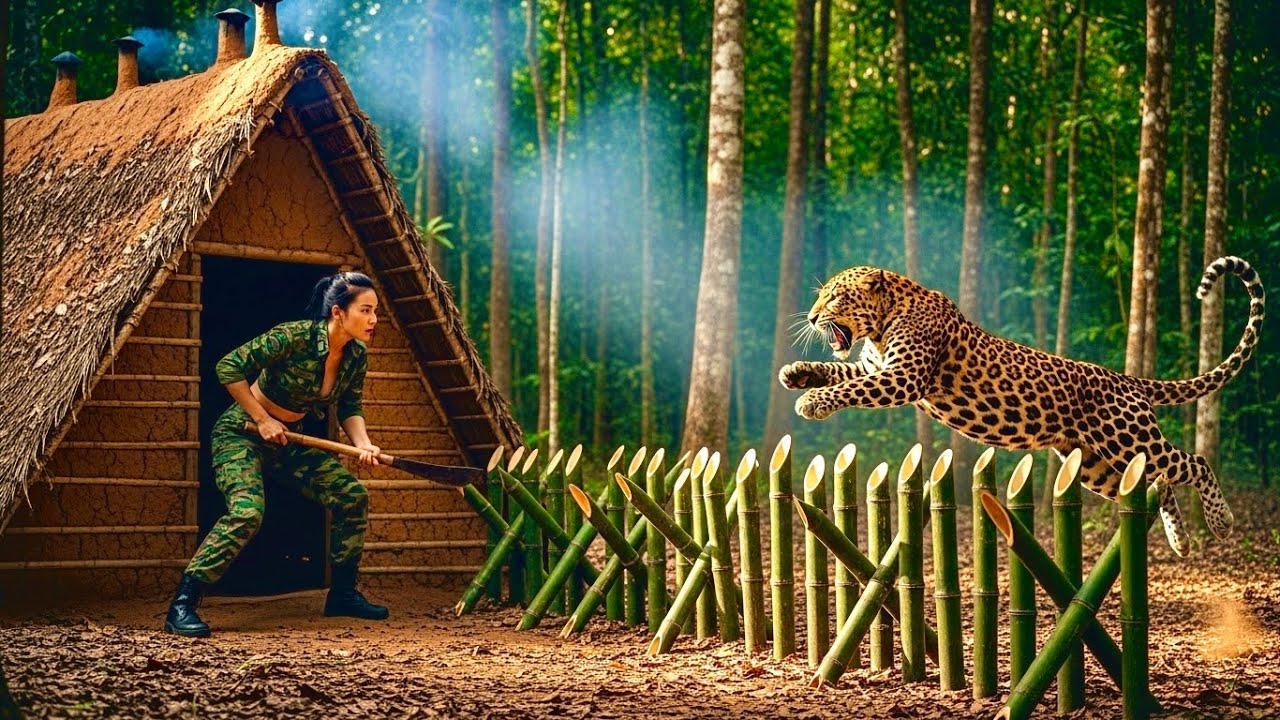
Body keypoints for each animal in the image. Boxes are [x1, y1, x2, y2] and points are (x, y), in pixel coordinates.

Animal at [779, 256, 1265, 556]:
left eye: (835, 297)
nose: (812, 317)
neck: (882, 324)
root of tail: (1125, 379)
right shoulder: (874, 367)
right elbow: (839, 372)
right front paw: (797, 374)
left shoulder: (902, 378)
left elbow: (849, 390)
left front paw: (811, 402)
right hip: (1099, 465)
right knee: (1158, 484)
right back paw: (1180, 541)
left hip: (1130, 437)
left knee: (1195, 462)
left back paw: (1221, 521)